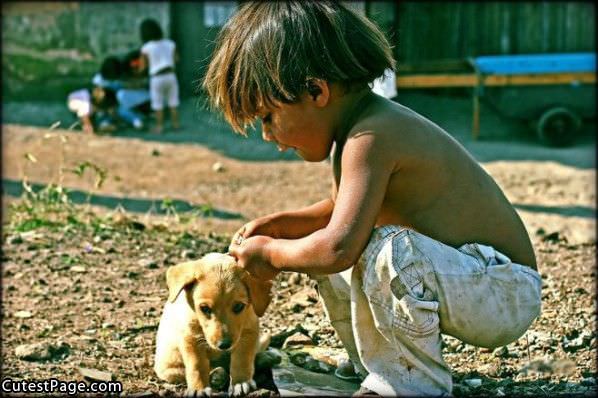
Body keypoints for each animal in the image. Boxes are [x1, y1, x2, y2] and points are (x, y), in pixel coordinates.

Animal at [156, 253, 276, 396]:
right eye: (205, 308)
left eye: (238, 307)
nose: (224, 345)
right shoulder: (190, 337)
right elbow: (197, 365)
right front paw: (199, 388)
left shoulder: (249, 332)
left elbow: (242, 359)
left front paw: (240, 382)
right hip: (168, 367)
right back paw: (217, 375)